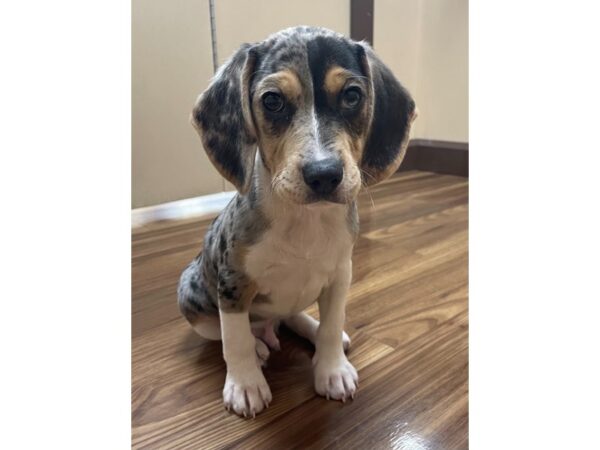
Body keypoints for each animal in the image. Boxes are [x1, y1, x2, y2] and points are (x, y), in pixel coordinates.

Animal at [176, 26, 414, 416]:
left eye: (352, 96)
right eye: (272, 101)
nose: (324, 174)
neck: (306, 219)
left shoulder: (341, 274)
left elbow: (333, 324)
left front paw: (331, 369)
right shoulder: (233, 282)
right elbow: (234, 339)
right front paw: (245, 384)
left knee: (289, 316)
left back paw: (308, 329)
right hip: (192, 292)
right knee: (230, 332)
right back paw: (258, 347)